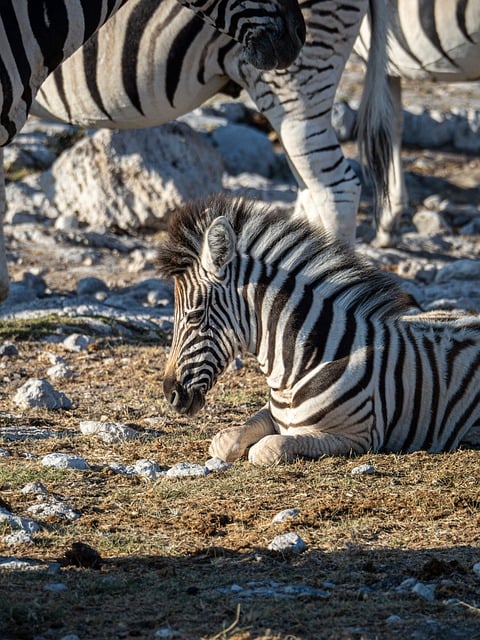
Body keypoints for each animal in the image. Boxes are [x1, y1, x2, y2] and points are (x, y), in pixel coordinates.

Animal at [158, 194, 480, 464]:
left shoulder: (357, 436)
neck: (296, 366)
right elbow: (225, 440)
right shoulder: (271, 415)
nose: (169, 393)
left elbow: (267, 448)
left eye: (194, 315)